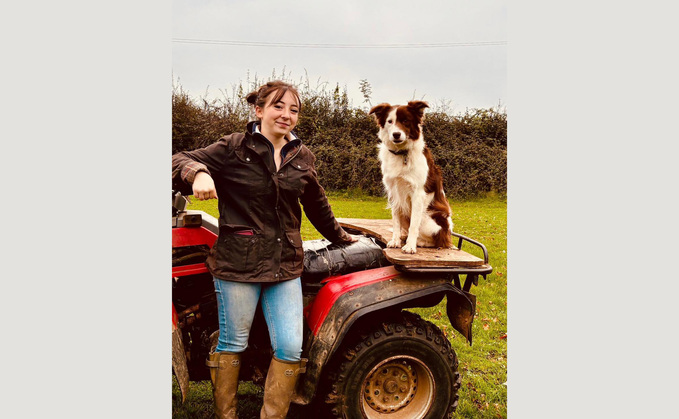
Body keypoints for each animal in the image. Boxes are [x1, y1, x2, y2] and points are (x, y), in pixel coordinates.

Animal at [370, 100, 454, 254]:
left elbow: (414, 225)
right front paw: (395, 241)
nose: (396, 134)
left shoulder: (418, 194)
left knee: (439, 241)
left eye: (405, 121)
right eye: (390, 121)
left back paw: (418, 242)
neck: (401, 153)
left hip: (429, 219)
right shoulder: (393, 192)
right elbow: (395, 221)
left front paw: (410, 246)